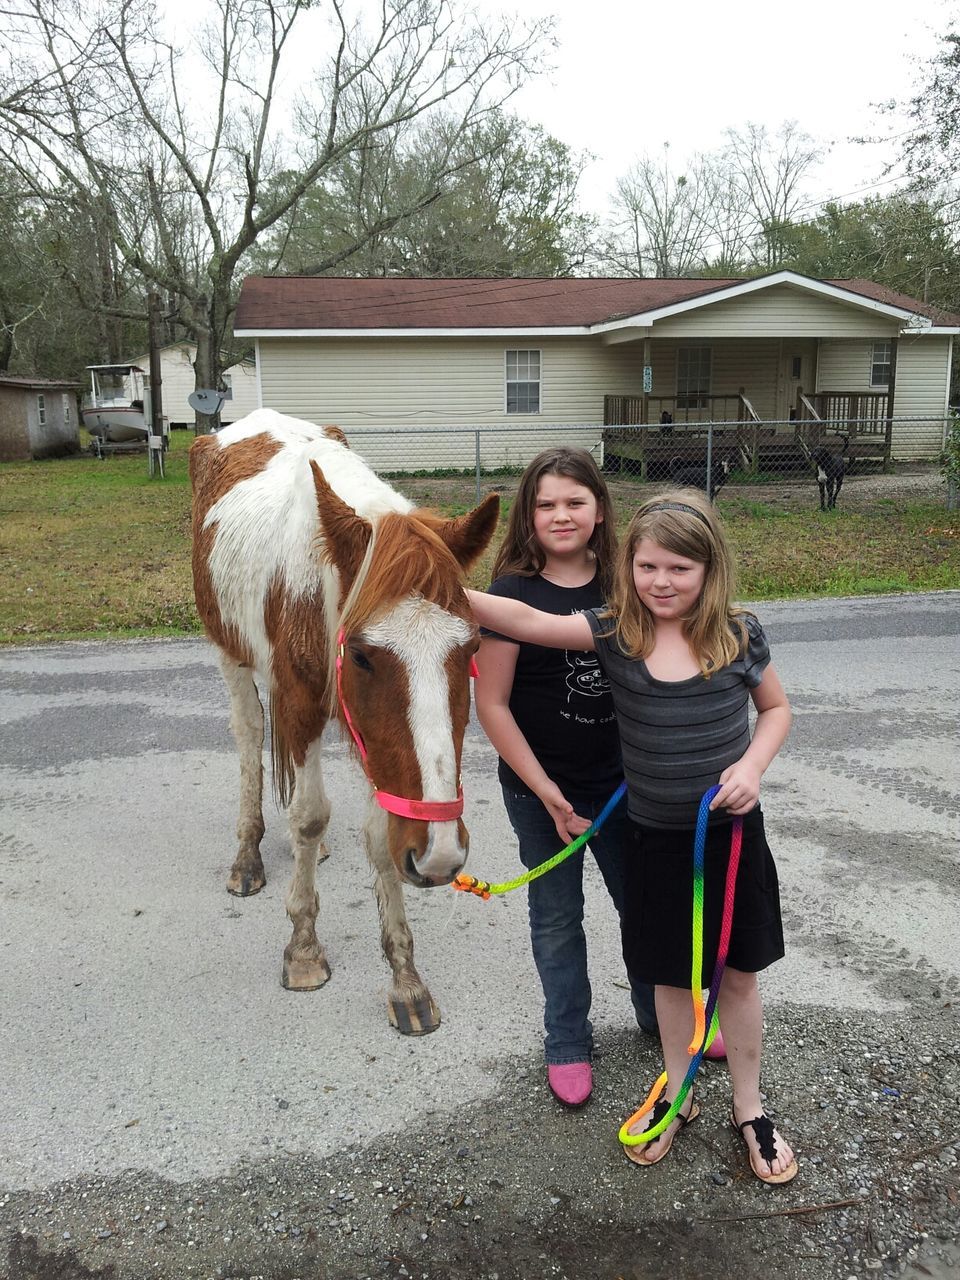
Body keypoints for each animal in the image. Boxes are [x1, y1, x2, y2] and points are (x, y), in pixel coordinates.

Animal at [190, 414, 499, 1034]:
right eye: (361, 655)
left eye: (473, 646)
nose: (440, 857)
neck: (319, 586)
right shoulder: (303, 705)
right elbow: (308, 816)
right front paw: (304, 949)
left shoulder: (375, 745)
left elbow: (378, 837)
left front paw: (406, 978)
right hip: (230, 654)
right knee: (250, 738)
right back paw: (248, 854)